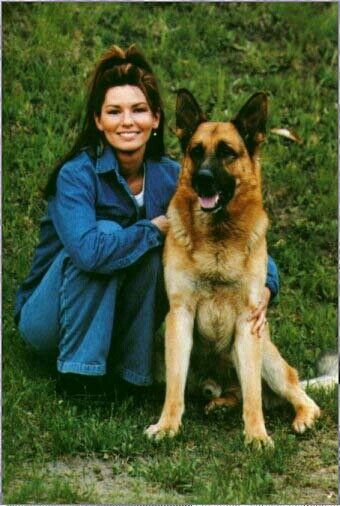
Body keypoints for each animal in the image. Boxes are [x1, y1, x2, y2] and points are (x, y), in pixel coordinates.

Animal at [147, 89, 322, 444]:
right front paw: (168, 426)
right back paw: (221, 403)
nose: (202, 180)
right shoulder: (179, 316)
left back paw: (302, 417)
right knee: (229, 392)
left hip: (265, 351)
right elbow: (175, 388)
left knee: (294, 392)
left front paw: (257, 436)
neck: (218, 238)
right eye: (196, 152)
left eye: (227, 152)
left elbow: (253, 394)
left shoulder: (248, 322)